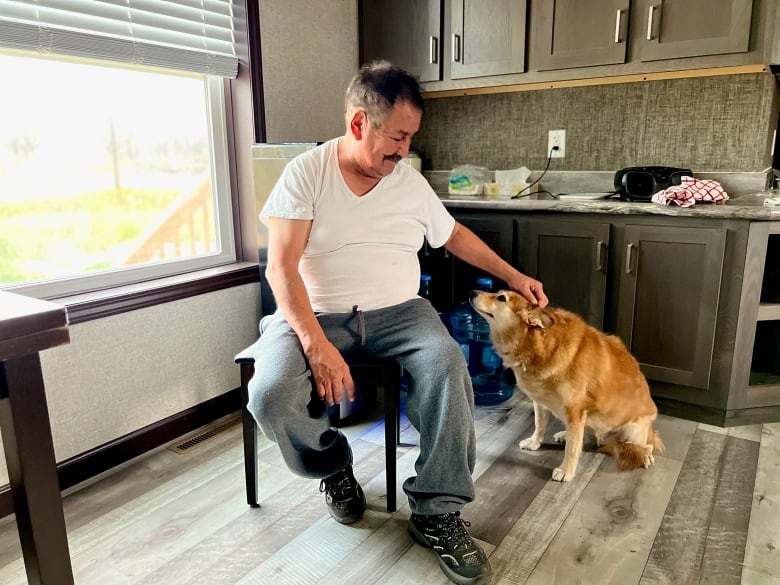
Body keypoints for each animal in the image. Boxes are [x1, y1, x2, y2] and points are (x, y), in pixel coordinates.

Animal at [470, 290, 664, 482]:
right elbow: (540, 424)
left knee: (645, 446)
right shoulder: (540, 401)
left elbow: (572, 447)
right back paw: (564, 434)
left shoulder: (575, 410)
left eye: (501, 298)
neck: (541, 346)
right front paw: (534, 442)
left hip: (633, 431)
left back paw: (647, 456)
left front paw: (566, 471)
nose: (473, 292)